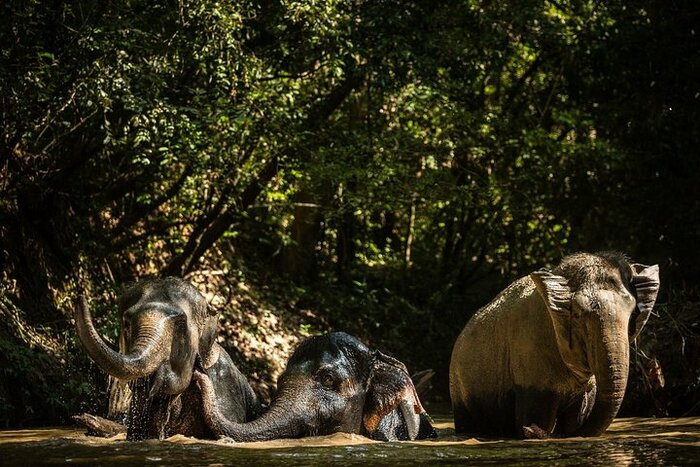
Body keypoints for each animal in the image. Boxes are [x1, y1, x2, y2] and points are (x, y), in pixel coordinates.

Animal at [449, 251, 660, 439]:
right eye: (578, 315)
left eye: (632, 313)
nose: (529, 430)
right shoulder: (529, 352)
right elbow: (539, 417)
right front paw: (535, 431)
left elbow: (576, 419)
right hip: (459, 390)